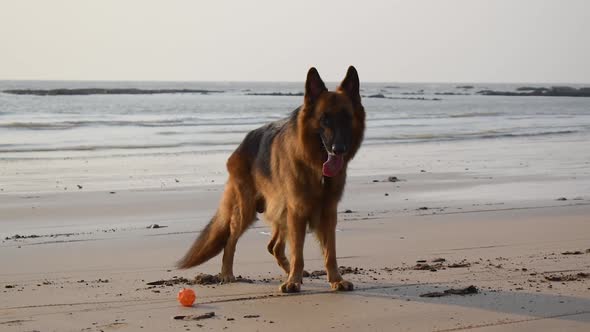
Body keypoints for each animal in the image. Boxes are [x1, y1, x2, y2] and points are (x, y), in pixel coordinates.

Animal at [178, 65, 368, 294]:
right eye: (325, 119)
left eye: (347, 118)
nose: (338, 149)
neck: (315, 168)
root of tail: (243, 143)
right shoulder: (298, 211)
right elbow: (298, 252)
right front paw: (294, 281)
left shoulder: (328, 212)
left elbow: (330, 252)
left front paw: (336, 279)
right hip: (247, 210)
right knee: (231, 240)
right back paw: (228, 273)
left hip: (280, 212)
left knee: (274, 247)